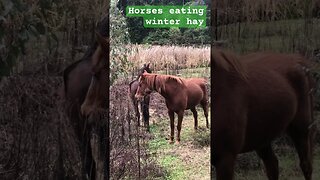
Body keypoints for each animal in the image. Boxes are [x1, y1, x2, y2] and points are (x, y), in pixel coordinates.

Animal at [211, 48, 316, 179]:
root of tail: (296, 60)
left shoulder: (225, 158)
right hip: (262, 137)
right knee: (272, 164)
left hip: (301, 129)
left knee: (306, 165)